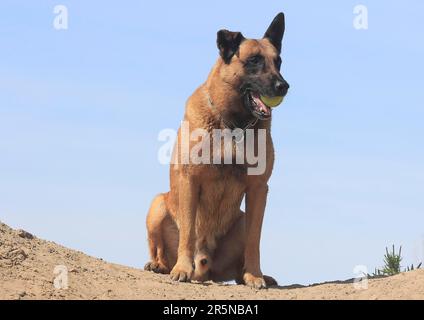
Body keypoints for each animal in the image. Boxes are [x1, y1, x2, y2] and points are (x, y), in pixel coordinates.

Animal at [145, 12, 288, 288]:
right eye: (254, 60)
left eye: (279, 61)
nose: (283, 86)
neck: (233, 125)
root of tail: (205, 266)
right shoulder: (189, 180)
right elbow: (188, 233)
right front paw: (182, 268)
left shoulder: (258, 189)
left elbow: (255, 241)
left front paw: (255, 275)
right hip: (157, 205)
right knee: (158, 249)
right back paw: (160, 266)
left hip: (241, 220)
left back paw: (251, 275)